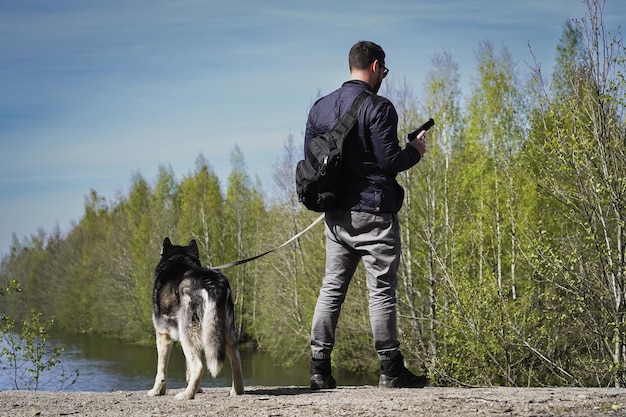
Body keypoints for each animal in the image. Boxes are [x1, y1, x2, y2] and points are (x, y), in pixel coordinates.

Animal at [147, 237, 244, 396]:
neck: (179, 258)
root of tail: (212, 283)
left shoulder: (162, 335)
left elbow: (160, 370)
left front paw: (156, 391)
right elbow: (188, 369)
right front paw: (195, 388)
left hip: (187, 334)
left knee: (199, 367)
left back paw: (186, 395)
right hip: (225, 333)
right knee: (236, 362)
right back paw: (237, 391)